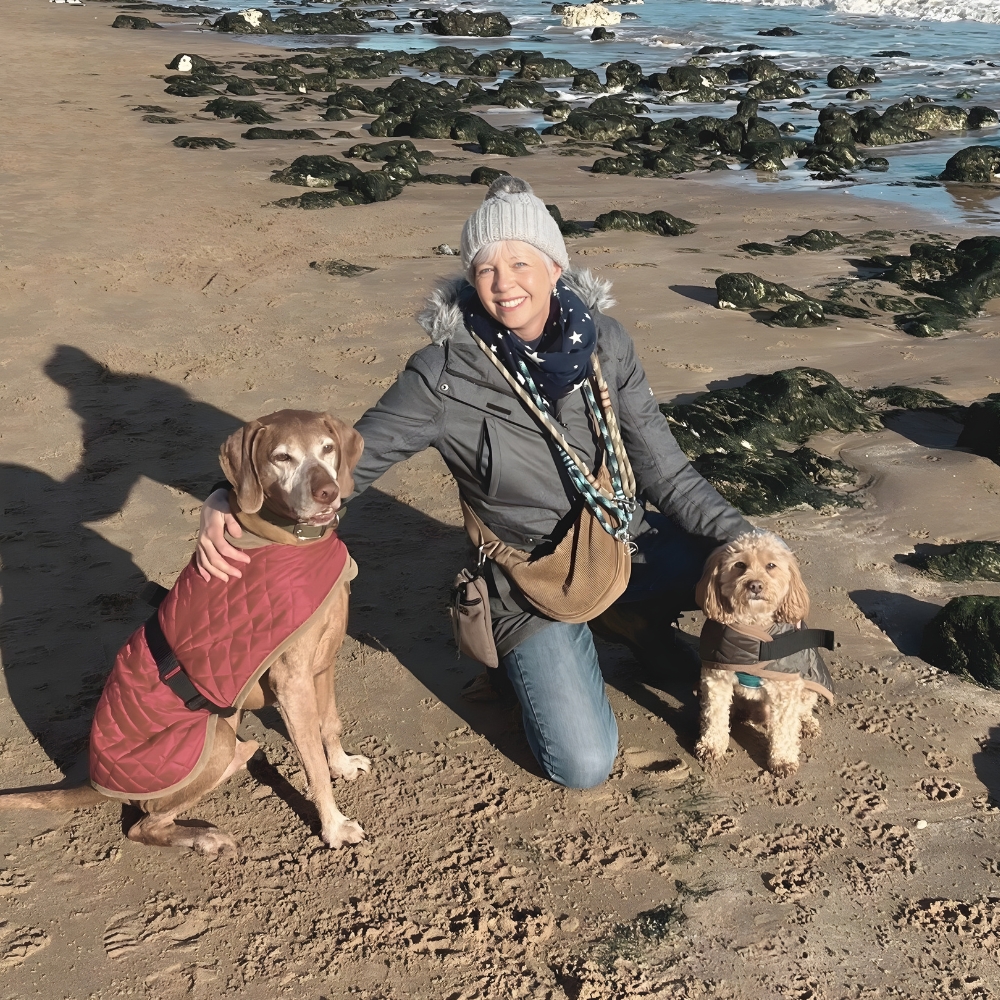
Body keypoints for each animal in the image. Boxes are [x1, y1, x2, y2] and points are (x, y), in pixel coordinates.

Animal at [0, 410, 369, 857]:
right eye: (281, 457)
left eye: (327, 449)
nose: (327, 491)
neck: (288, 537)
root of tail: (94, 782)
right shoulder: (291, 680)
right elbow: (312, 761)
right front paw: (334, 826)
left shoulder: (323, 662)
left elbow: (329, 724)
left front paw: (343, 765)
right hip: (217, 742)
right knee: (142, 825)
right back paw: (204, 837)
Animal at [693, 530, 834, 778]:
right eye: (740, 565)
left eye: (771, 565)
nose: (755, 585)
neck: (754, 629)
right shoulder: (717, 677)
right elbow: (715, 713)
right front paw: (711, 744)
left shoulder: (786, 688)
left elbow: (785, 727)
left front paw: (783, 760)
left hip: (807, 688)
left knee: (802, 710)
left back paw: (807, 724)